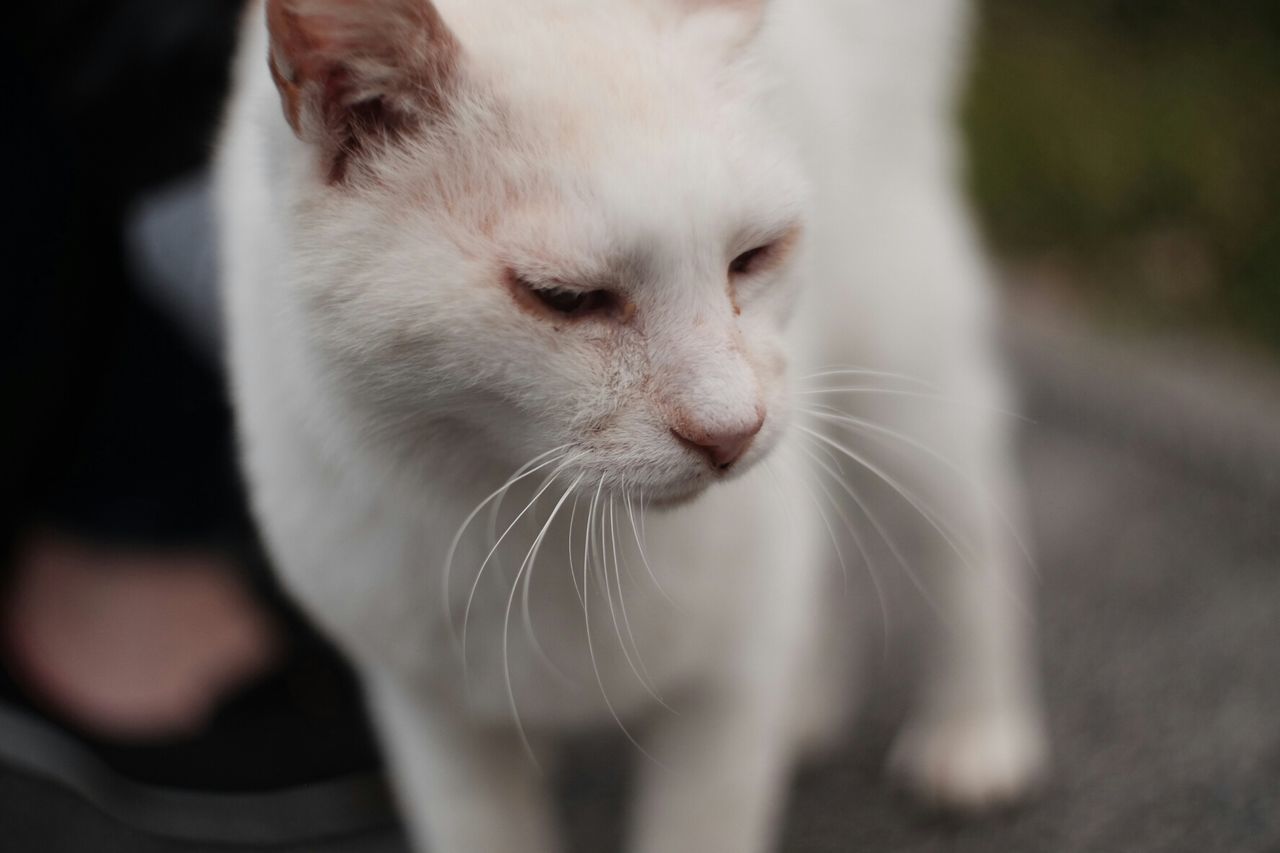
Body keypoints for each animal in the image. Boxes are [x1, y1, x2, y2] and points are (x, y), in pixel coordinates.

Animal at [215, 1, 1044, 850]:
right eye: (567, 298)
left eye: (753, 257)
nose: (730, 429)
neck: (538, 526)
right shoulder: (434, 711)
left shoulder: (726, 684)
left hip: (903, 343)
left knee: (969, 524)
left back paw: (977, 731)